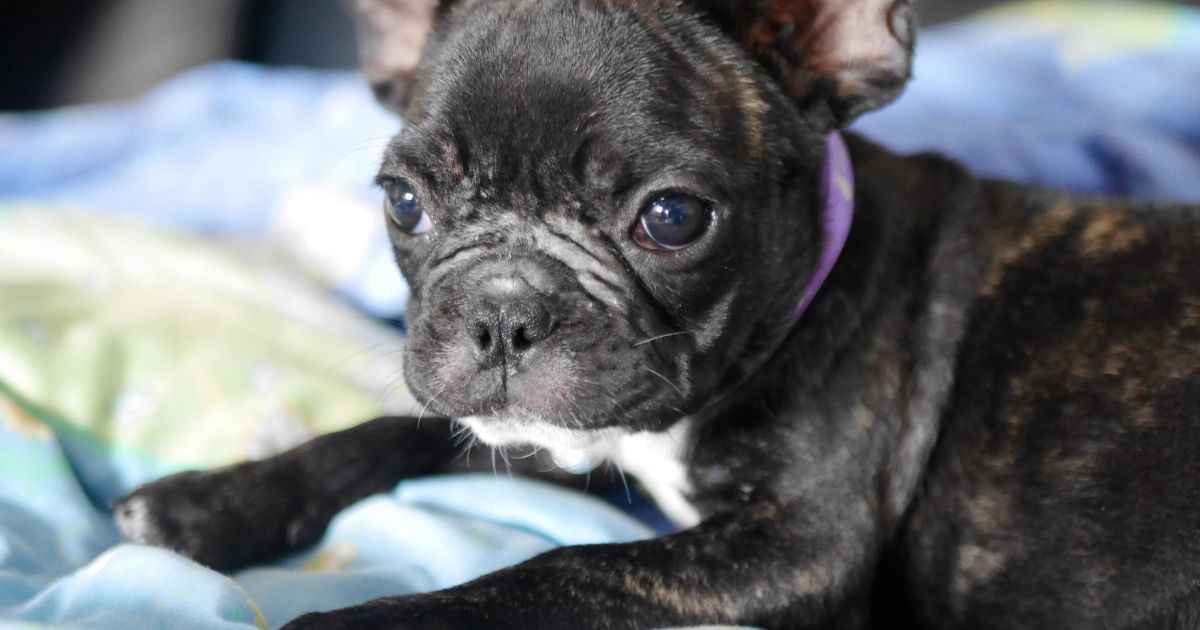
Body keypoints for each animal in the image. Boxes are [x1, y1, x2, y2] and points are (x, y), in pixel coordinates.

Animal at [114, 1, 1200, 628]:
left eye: (672, 218)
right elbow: (394, 432)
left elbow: (556, 572)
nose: (503, 311)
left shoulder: (797, 545)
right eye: (404, 201)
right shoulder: (570, 433)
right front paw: (210, 502)